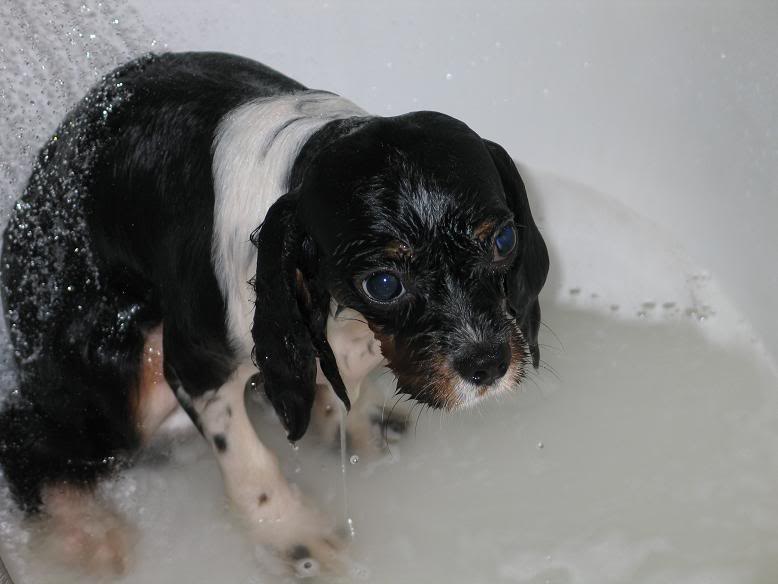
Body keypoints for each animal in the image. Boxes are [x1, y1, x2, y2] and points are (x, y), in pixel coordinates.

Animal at [0, 52, 544, 576]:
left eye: (503, 241)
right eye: (384, 284)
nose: (487, 367)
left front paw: (358, 427)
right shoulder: (195, 364)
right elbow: (248, 457)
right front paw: (293, 535)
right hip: (123, 375)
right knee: (27, 434)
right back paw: (88, 533)